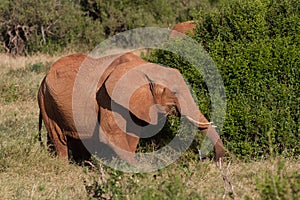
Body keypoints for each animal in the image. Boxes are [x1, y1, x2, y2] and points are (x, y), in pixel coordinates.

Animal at [37, 51, 224, 164]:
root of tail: (44, 77)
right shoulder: (106, 97)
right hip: (47, 102)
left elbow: (133, 135)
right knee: (59, 138)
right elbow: (112, 136)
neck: (143, 67)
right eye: (175, 93)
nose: (215, 161)